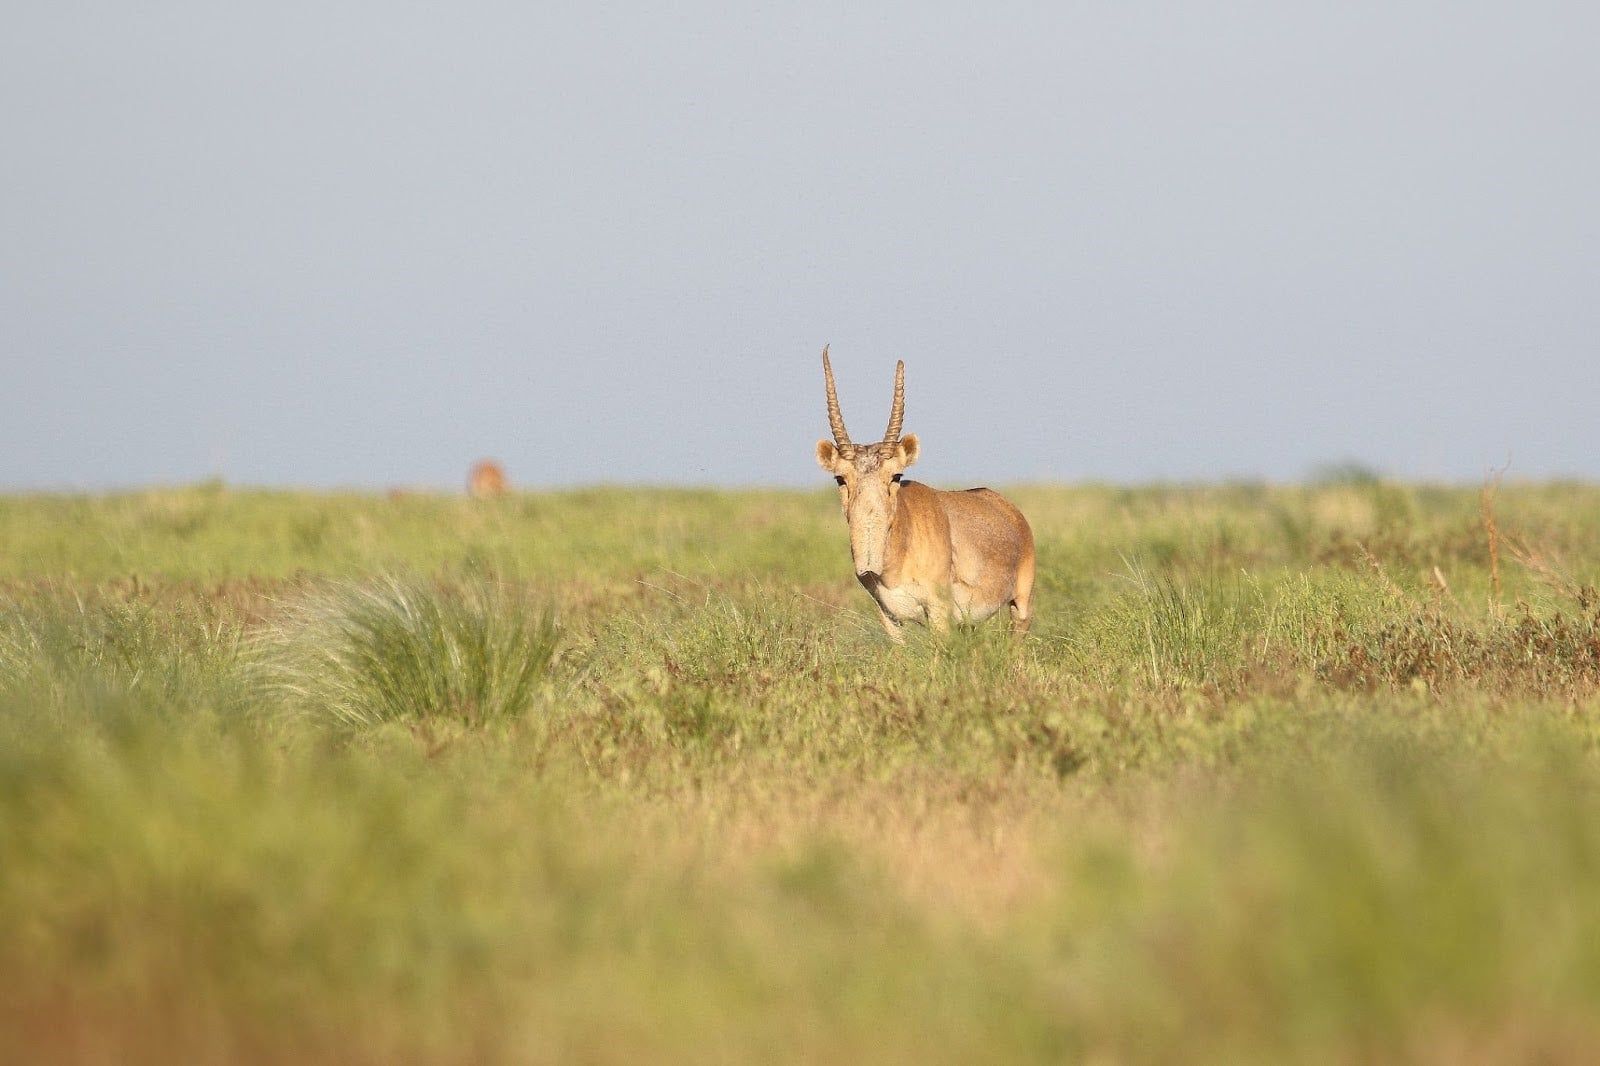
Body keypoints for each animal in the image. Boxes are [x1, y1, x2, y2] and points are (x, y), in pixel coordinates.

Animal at [814, 346, 1035, 642]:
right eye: (840, 478)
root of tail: (1010, 510)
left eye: (896, 476)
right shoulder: (888, 615)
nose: (868, 561)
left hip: (1021, 606)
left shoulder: (939, 611)